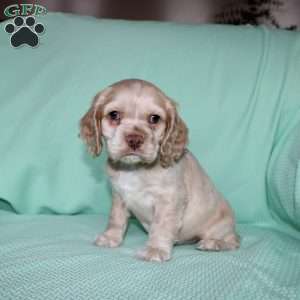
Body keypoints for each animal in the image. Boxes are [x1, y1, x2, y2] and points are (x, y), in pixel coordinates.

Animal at [79, 78, 239, 262]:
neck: (134, 168)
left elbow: (161, 226)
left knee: (234, 241)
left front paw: (155, 249)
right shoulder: (119, 196)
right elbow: (116, 219)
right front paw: (110, 238)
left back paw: (213, 243)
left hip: (221, 226)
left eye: (154, 118)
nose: (135, 139)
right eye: (114, 115)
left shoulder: (169, 200)